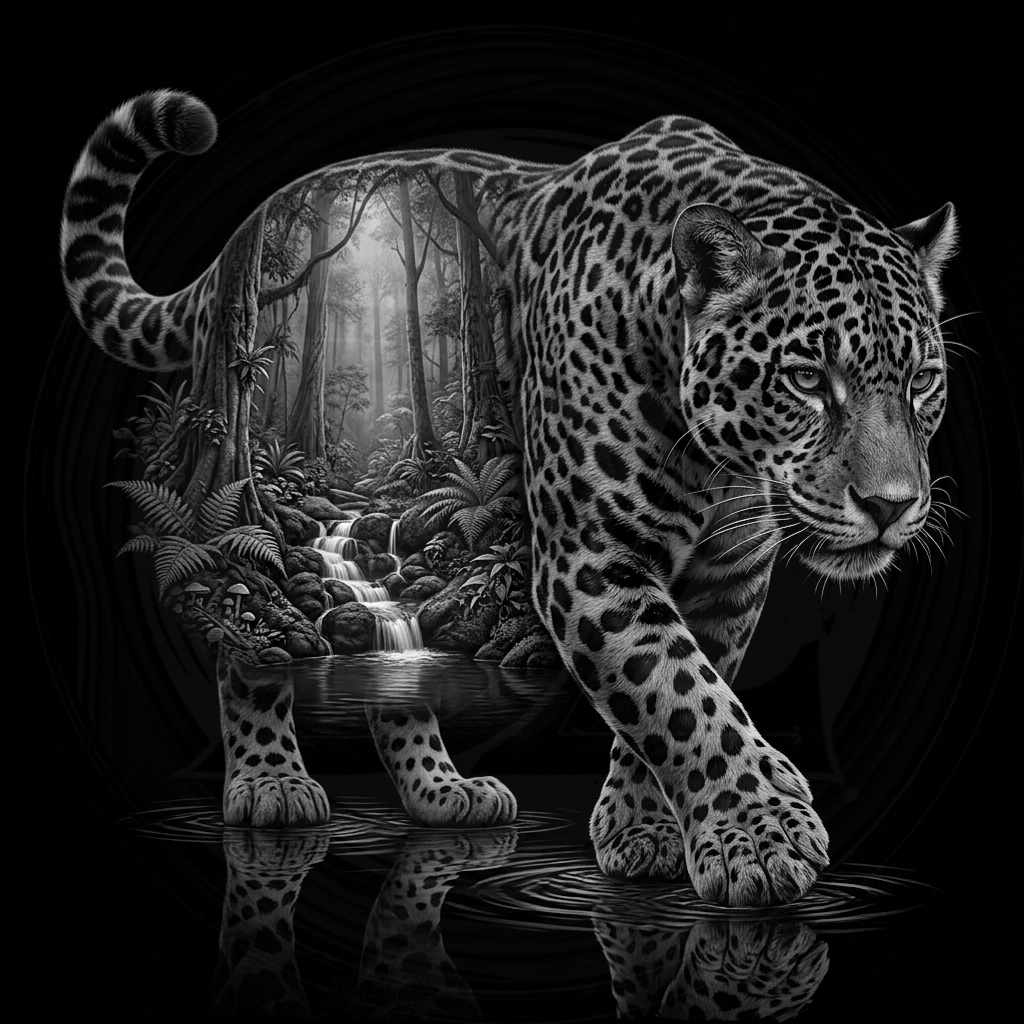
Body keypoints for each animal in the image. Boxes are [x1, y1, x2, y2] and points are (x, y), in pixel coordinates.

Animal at [60, 90, 957, 909]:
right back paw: (269, 781)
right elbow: (679, 695)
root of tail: (246, 230)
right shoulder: (593, 559)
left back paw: (443, 790)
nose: (891, 505)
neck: (723, 465)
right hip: (242, 466)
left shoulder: (725, 580)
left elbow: (677, 696)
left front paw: (645, 830)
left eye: (922, 381)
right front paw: (761, 836)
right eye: (806, 378)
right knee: (245, 631)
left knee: (395, 659)